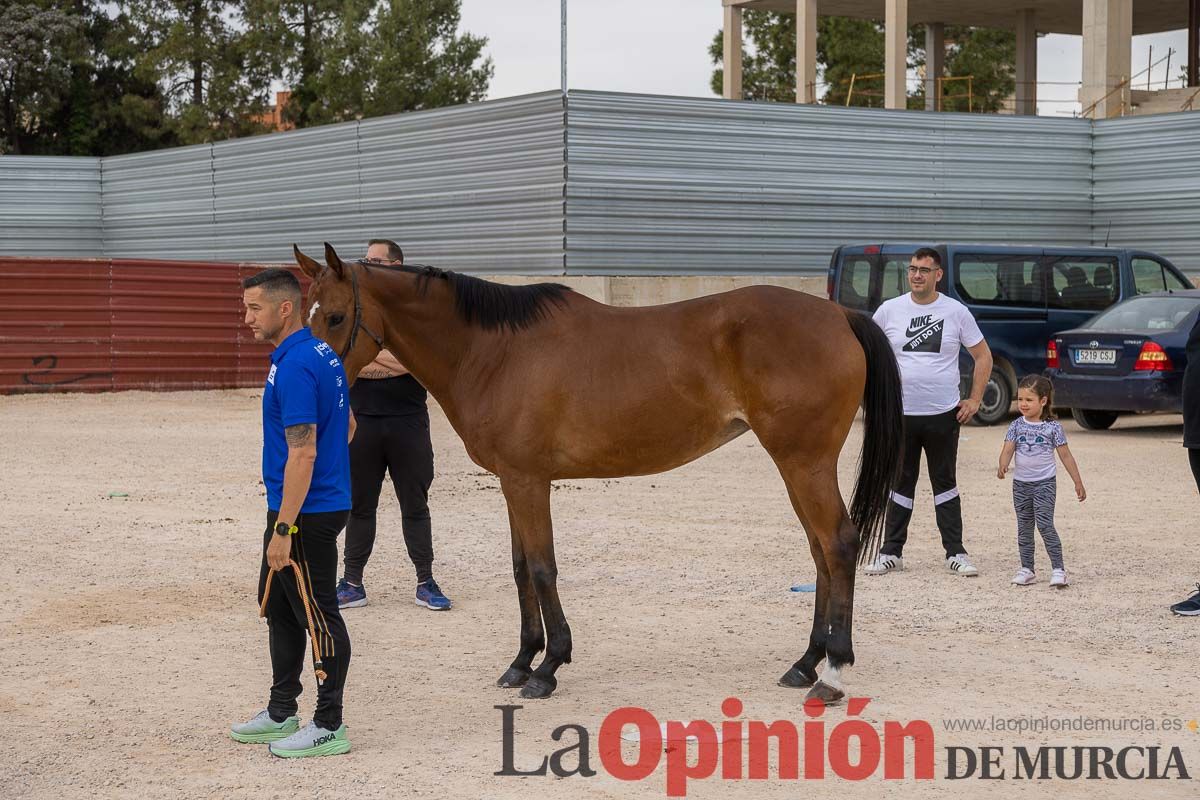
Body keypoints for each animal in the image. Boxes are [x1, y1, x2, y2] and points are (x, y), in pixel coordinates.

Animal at [297, 242, 902, 700]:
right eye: (307, 313)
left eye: (335, 316)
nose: (307, 379)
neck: (492, 351)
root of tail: (839, 315)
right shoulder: (513, 482)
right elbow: (521, 569)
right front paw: (521, 660)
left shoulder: (528, 481)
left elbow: (543, 569)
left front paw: (547, 669)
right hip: (795, 466)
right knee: (820, 553)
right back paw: (805, 662)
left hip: (805, 462)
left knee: (839, 545)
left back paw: (832, 673)